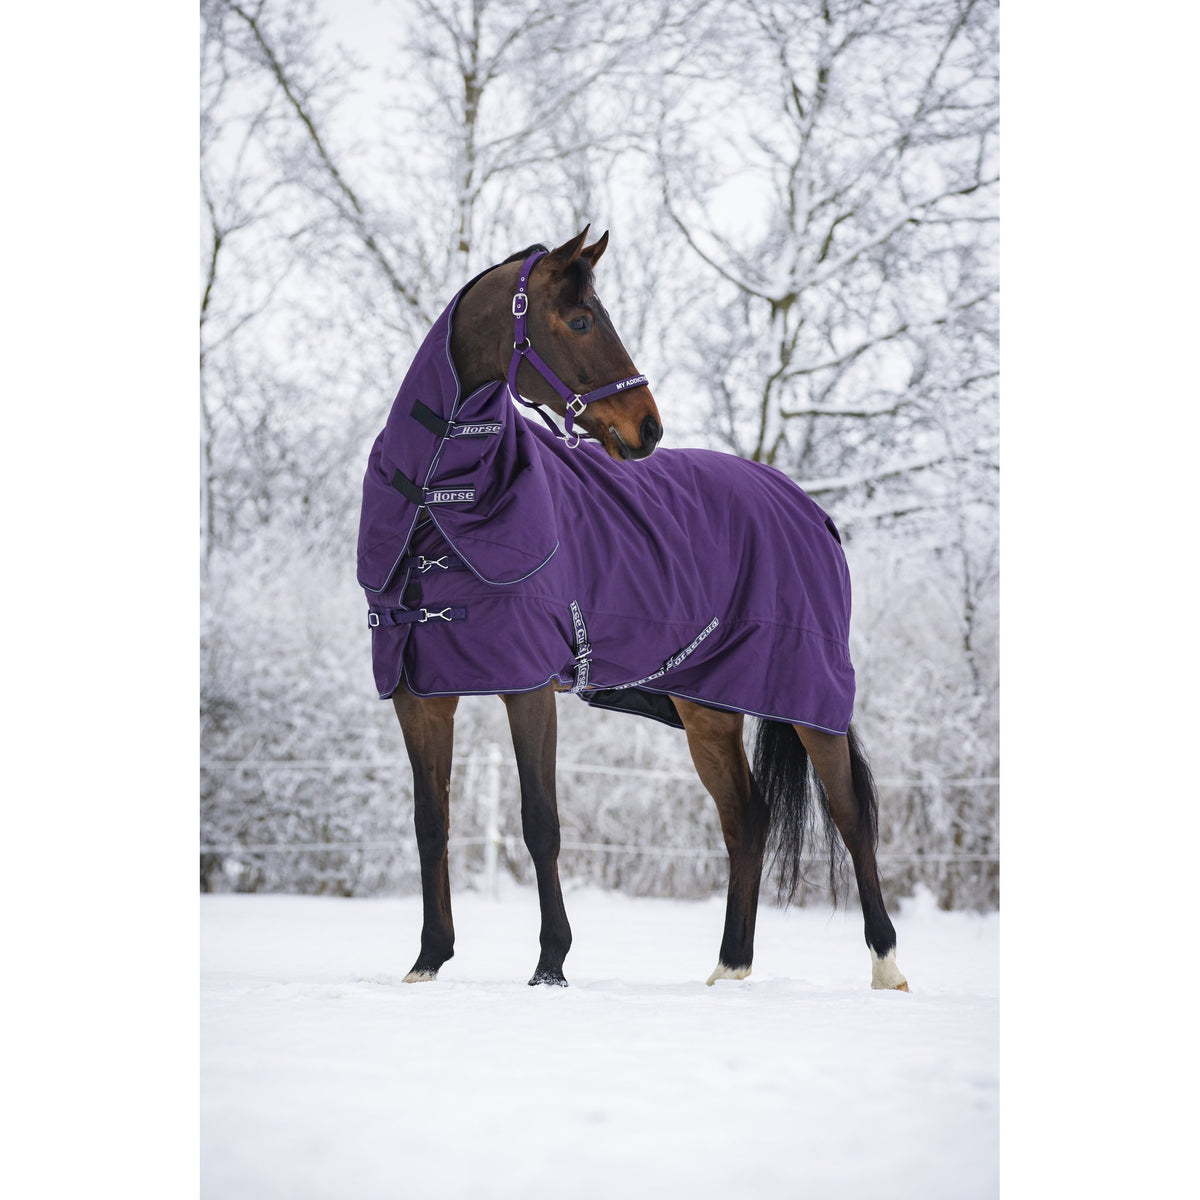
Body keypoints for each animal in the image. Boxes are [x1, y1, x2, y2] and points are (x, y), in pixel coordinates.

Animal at [358, 227, 908, 992]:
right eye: (581, 320)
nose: (647, 427)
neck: (439, 507)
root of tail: (811, 511)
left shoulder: (529, 687)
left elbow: (540, 822)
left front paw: (550, 964)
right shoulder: (420, 694)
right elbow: (430, 822)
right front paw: (428, 961)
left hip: (808, 696)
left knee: (852, 815)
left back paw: (886, 966)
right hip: (707, 708)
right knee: (746, 818)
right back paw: (729, 968)